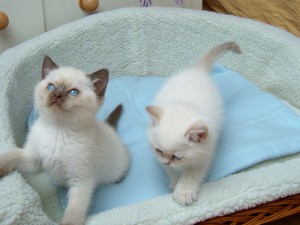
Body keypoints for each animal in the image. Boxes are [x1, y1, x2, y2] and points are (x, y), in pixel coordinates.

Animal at [0, 56, 130, 225]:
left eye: (73, 92)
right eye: (51, 87)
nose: (56, 95)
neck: (58, 129)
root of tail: (110, 128)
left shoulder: (80, 180)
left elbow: (74, 210)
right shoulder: (33, 160)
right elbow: (12, 155)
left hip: (117, 168)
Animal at [146, 41, 240, 206]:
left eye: (177, 157)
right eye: (159, 150)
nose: (166, 162)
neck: (186, 103)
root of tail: (197, 69)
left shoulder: (205, 154)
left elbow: (192, 174)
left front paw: (184, 192)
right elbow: (173, 171)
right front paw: (175, 181)